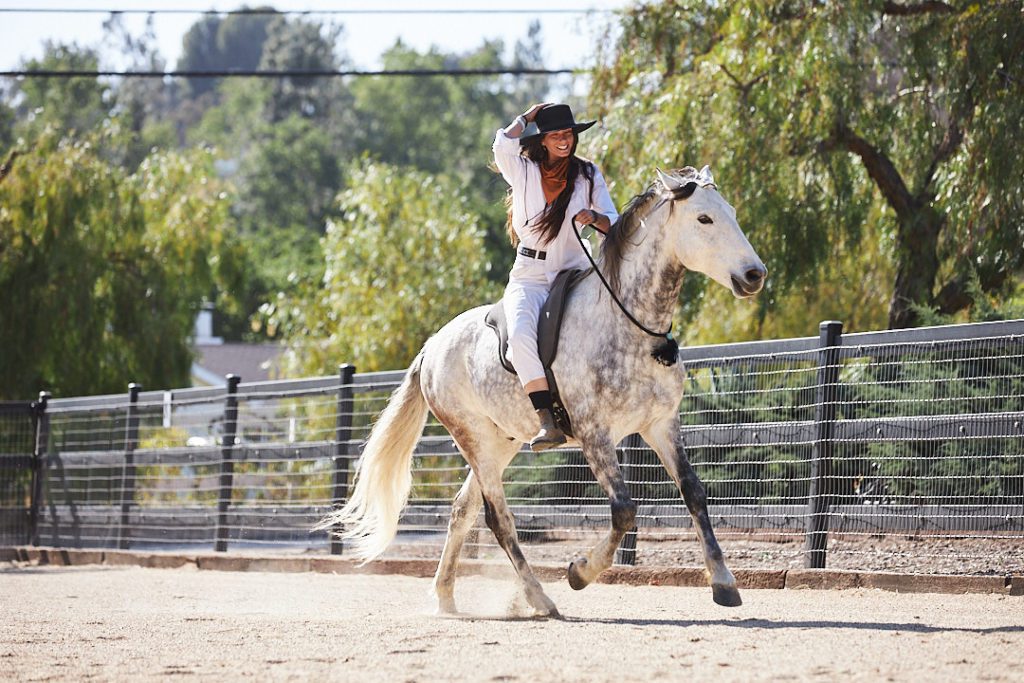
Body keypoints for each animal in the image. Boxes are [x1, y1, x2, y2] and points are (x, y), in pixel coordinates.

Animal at [315, 166, 765, 618]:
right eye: (704, 219)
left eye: (731, 213)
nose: (754, 275)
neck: (630, 325)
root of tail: (432, 346)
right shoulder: (594, 434)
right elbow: (623, 510)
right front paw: (580, 572)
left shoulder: (661, 425)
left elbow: (694, 494)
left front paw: (723, 582)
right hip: (474, 439)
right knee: (498, 519)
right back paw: (538, 597)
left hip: (501, 442)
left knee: (463, 510)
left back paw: (446, 596)